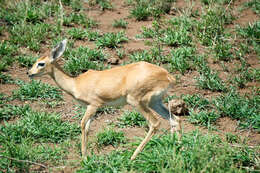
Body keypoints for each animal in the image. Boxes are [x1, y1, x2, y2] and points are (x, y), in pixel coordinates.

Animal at [26, 39, 181, 160]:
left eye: (41, 63)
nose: (29, 73)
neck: (75, 83)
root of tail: (168, 76)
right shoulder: (92, 109)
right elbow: (87, 128)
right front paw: (86, 156)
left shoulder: (93, 105)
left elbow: (82, 124)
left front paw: (84, 157)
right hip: (155, 102)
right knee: (175, 119)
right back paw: (179, 149)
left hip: (136, 101)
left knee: (155, 123)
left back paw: (133, 157)